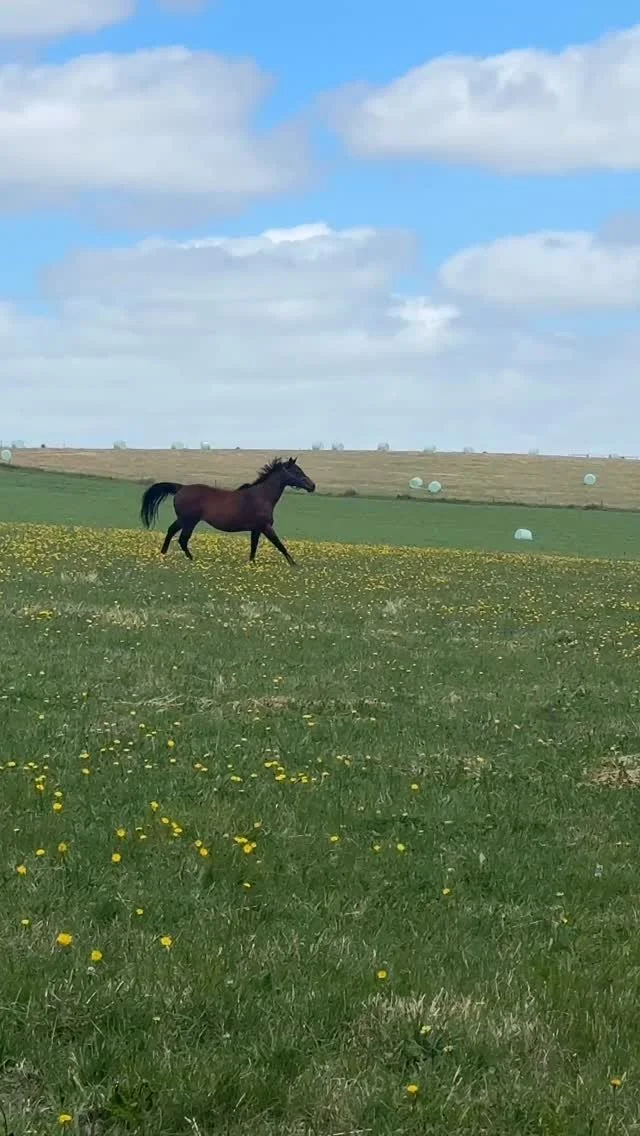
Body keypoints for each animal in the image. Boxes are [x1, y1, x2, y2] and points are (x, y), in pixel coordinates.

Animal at [140, 456, 315, 567]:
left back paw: (163, 555)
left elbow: (254, 548)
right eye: (297, 472)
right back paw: (192, 560)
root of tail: (181, 488)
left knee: (171, 532)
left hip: (183, 520)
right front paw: (294, 564)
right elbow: (280, 545)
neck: (262, 496)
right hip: (189, 521)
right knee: (183, 539)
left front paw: (252, 564)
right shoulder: (265, 527)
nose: (312, 486)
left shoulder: (256, 529)